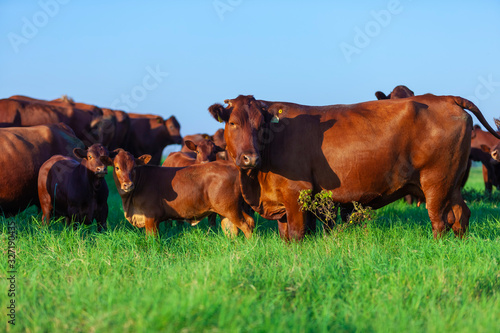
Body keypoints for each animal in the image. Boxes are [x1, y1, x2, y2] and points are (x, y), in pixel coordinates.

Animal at [103, 149, 256, 237]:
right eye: (117, 167)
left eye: (134, 167)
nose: (128, 184)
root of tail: (233, 166)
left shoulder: (151, 218)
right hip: (227, 211)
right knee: (234, 229)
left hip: (231, 209)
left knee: (246, 226)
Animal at [208, 94, 500, 240]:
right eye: (233, 123)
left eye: (261, 125)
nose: (250, 158)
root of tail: (445, 97)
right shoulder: (282, 201)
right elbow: (286, 235)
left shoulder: (297, 194)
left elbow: (298, 234)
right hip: (452, 182)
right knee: (461, 215)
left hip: (435, 182)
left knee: (440, 221)